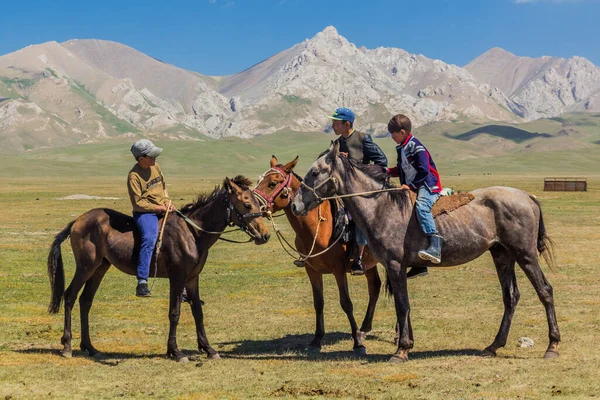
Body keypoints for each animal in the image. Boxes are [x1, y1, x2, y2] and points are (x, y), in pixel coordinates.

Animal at [48, 175, 268, 362]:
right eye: (247, 204)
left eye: (258, 203)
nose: (265, 235)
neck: (192, 233)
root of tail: (78, 221)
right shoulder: (177, 277)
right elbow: (174, 313)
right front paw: (175, 352)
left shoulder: (192, 278)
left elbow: (198, 311)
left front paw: (208, 349)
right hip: (86, 266)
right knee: (69, 296)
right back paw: (67, 346)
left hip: (100, 267)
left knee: (85, 301)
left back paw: (90, 348)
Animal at [253, 157, 380, 356]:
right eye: (259, 180)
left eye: (273, 183)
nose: (252, 206)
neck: (317, 229)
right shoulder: (311, 270)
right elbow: (318, 303)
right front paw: (316, 340)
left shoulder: (338, 270)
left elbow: (346, 303)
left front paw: (357, 343)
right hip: (370, 263)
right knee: (375, 287)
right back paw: (365, 328)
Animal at [292, 143, 560, 362]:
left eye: (315, 172)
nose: (295, 205)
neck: (381, 207)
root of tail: (527, 196)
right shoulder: (396, 267)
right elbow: (404, 305)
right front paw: (406, 345)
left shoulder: (394, 264)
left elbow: (401, 306)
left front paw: (401, 350)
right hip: (502, 254)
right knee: (510, 297)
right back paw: (493, 346)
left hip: (524, 254)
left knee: (545, 290)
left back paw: (553, 346)